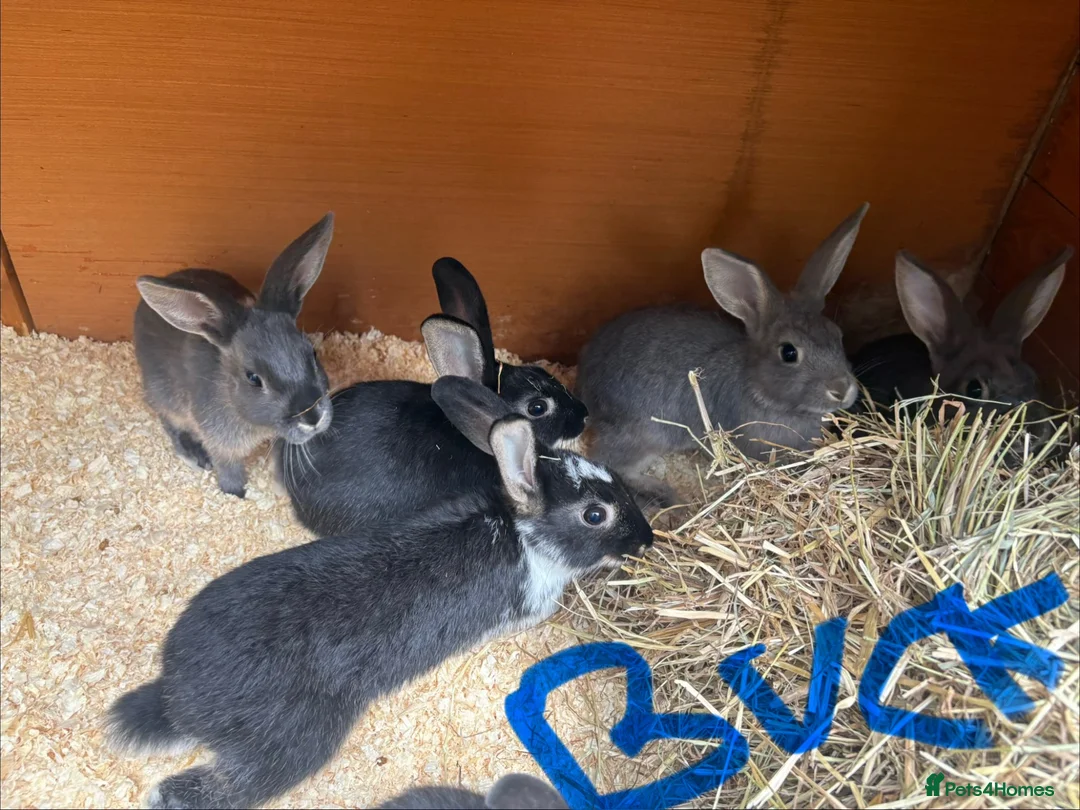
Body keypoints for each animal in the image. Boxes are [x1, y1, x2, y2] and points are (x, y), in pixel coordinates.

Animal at [133, 213, 335, 498]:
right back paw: (194, 455)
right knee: (168, 421)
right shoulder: (221, 442)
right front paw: (236, 494)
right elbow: (229, 469)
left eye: (312, 353)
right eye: (253, 378)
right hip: (165, 396)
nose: (312, 417)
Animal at [576, 204, 868, 507]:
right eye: (789, 352)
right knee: (609, 461)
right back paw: (663, 492)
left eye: (838, 335)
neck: (759, 390)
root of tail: (584, 376)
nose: (842, 390)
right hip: (644, 434)